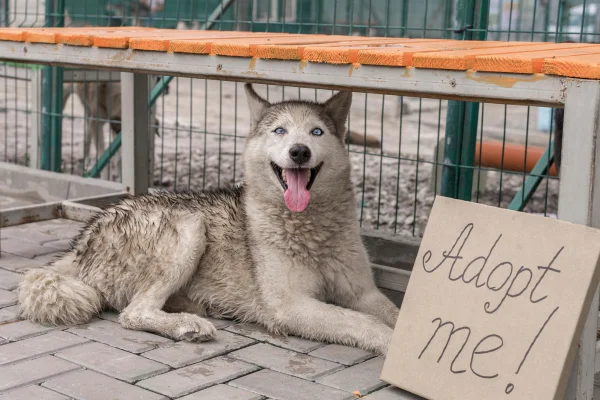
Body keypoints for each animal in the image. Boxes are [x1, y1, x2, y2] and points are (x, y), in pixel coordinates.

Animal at [17, 83, 398, 354]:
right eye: (280, 131)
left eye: (317, 132)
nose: (299, 152)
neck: (311, 227)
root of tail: (83, 239)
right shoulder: (290, 305)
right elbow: (361, 322)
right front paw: (391, 345)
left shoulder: (364, 292)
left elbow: (391, 313)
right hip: (190, 228)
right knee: (132, 313)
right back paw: (186, 324)